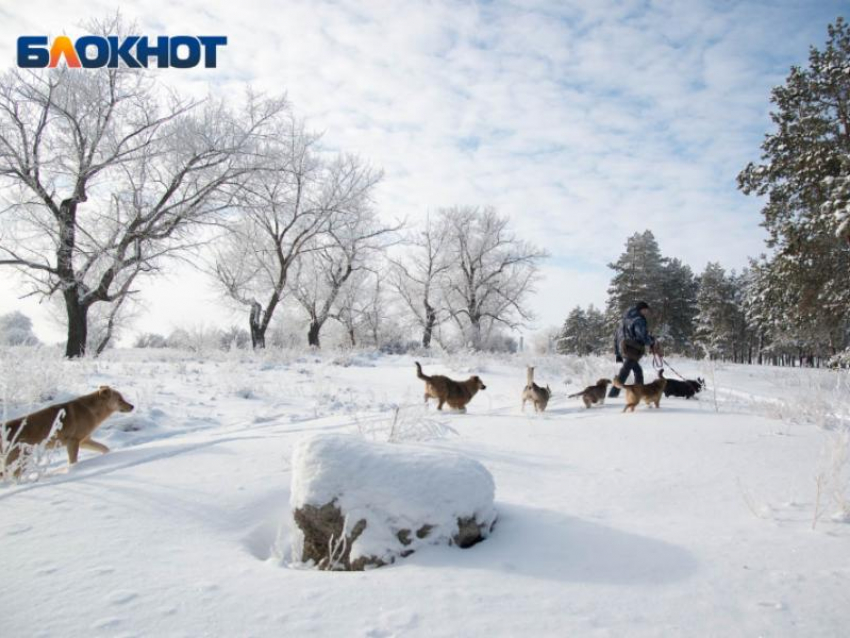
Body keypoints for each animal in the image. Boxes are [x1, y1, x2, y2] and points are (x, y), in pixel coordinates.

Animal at [0, 384, 133, 480]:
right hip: (18, 460)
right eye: (120, 399)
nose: (133, 406)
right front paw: (73, 471)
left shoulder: (84, 441)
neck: (93, 411)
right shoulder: (73, 442)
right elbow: (73, 461)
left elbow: (105, 448)